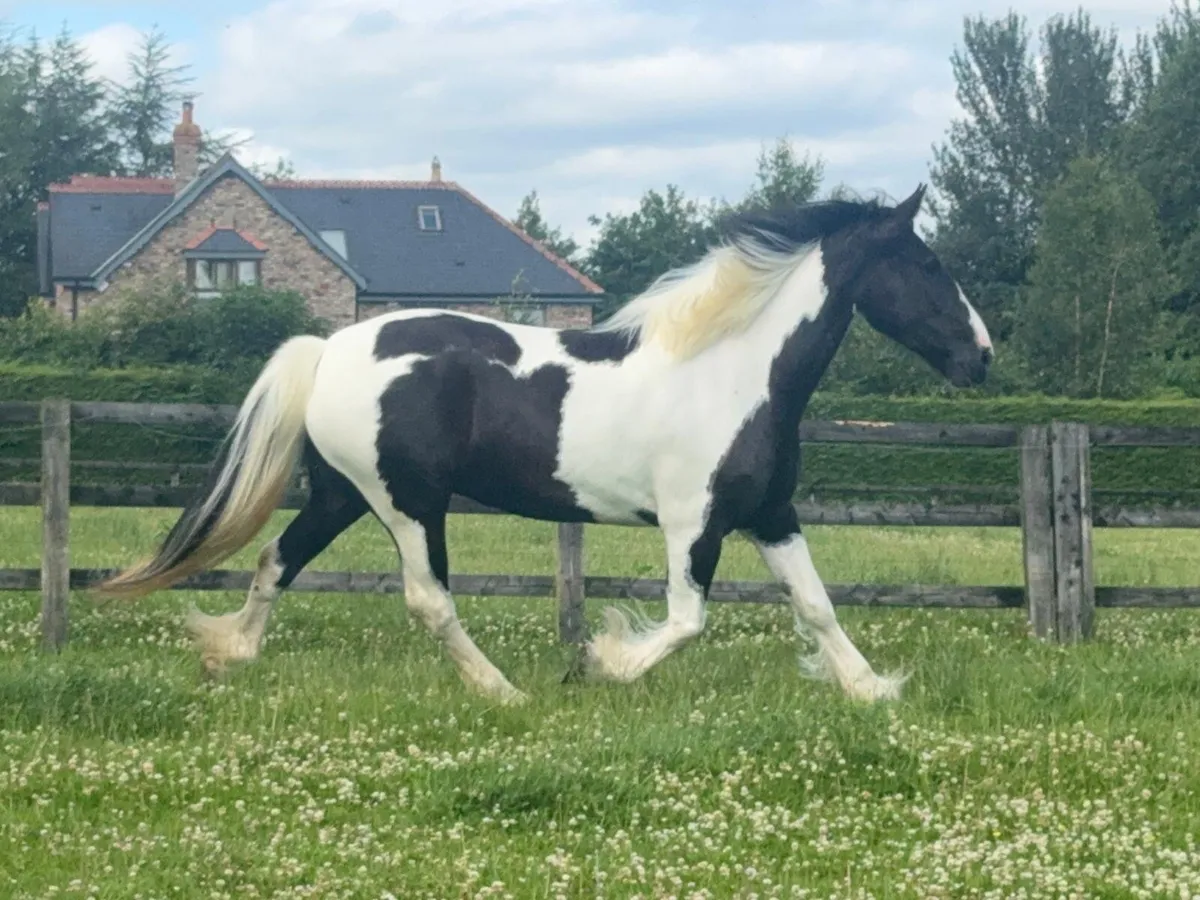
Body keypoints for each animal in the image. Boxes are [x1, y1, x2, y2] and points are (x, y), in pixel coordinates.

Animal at [94, 184, 992, 706]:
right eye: (925, 264)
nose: (981, 356)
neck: (732, 371)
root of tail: (332, 348)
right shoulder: (691, 524)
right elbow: (686, 620)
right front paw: (599, 664)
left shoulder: (770, 513)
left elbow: (816, 604)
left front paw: (873, 690)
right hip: (406, 503)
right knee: (428, 600)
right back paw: (505, 693)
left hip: (342, 494)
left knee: (276, 561)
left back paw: (227, 656)